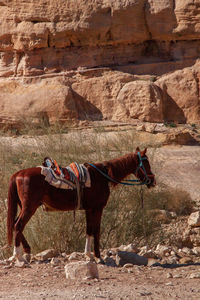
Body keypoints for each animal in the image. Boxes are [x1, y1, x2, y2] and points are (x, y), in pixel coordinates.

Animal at [7, 147, 155, 262]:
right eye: (146, 162)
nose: (152, 180)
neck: (102, 176)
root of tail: (18, 173)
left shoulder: (89, 209)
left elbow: (89, 230)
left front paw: (88, 255)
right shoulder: (97, 208)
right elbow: (96, 230)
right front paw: (98, 256)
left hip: (25, 206)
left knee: (15, 225)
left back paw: (26, 252)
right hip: (29, 207)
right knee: (18, 225)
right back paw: (19, 256)